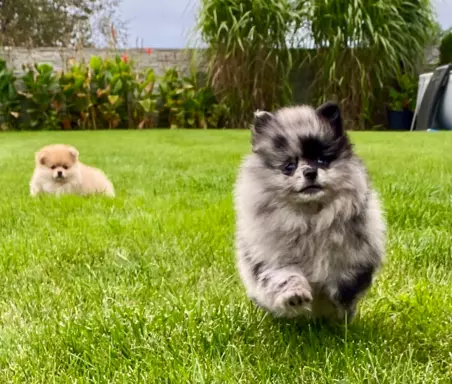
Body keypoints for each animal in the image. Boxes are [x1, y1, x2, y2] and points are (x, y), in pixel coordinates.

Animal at [233, 102, 384, 320]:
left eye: (321, 160)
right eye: (289, 166)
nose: (310, 172)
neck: (311, 218)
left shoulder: (358, 254)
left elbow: (346, 278)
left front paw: (340, 298)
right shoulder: (273, 257)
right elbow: (285, 276)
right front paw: (295, 295)